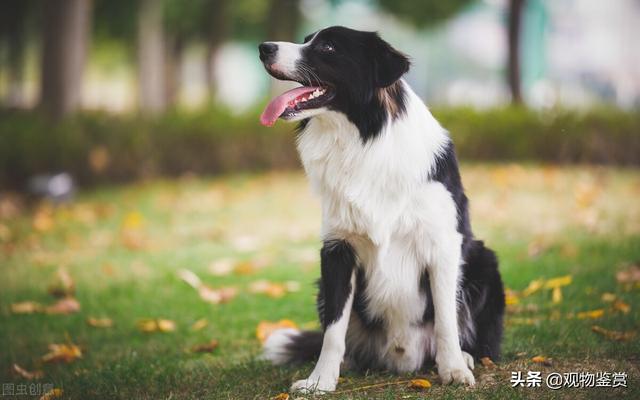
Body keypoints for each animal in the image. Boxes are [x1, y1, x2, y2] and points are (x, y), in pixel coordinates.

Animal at [258, 27, 502, 394]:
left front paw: (454, 370)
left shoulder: (443, 245)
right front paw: (320, 380)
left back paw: (466, 357)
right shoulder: (337, 250)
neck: (363, 140)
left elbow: (446, 318)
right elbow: (334, 330)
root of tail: (402, 358)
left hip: (484, 261)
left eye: (327, 47)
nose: (263, 48)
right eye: (306, 39)